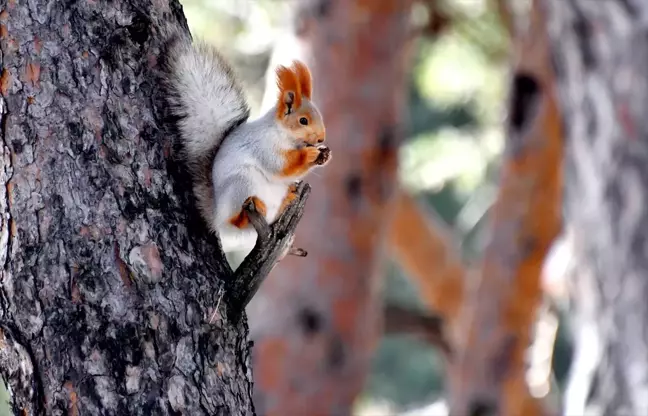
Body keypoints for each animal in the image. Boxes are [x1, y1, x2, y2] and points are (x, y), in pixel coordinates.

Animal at [158, 32, 330, 254]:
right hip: (241, 184)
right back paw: (242, 216)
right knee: (235, 221)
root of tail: (217, 215)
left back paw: (287, 199)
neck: (284, 135)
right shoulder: (263, 145)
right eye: (303, 121)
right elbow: (279, 166)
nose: (321, 139)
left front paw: (324, 154)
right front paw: (310, 155)